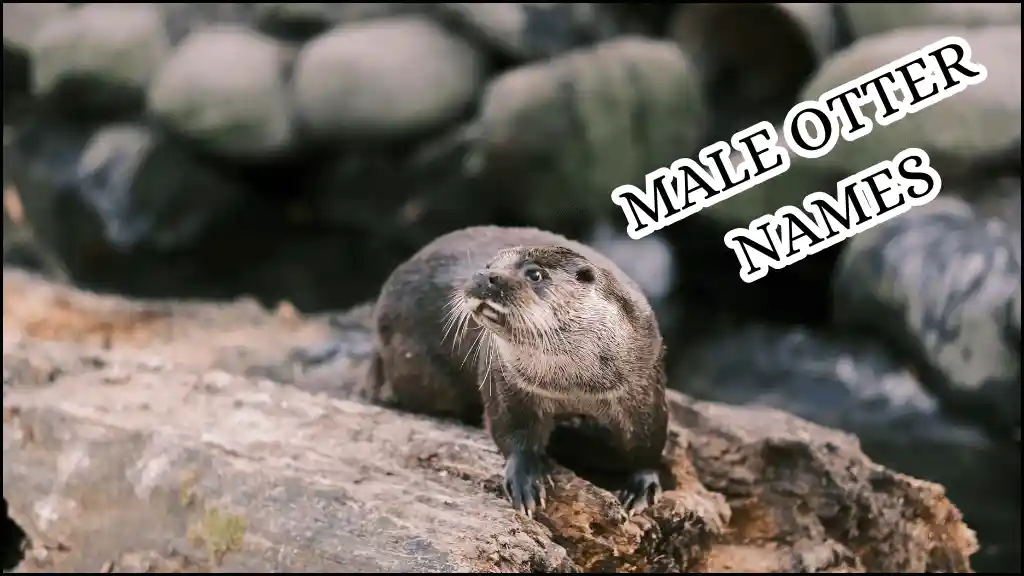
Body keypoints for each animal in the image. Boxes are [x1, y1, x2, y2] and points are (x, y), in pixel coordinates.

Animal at [370, 222, 671, 512]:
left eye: (534, 274)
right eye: (489, 264)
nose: (482, 276)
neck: (572, 385)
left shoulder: (644, 381)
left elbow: (649, 441)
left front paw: (641, 485)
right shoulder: (504, 380)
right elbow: (511, 433)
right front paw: (526, 478)